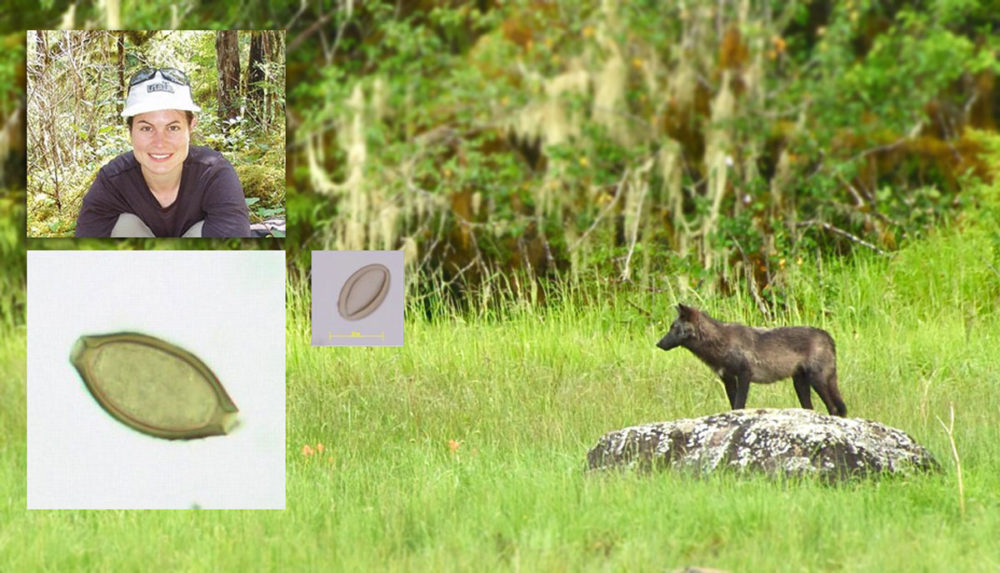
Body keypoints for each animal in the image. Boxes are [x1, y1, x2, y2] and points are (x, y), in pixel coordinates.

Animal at [656, 304, 847, 416]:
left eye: (673, 328)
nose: (658, 344)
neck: (721, 343)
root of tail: (827, 335)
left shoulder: (744, 375)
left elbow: (739, 404)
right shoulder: (728, 379)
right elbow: (734, 405)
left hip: (817, 381)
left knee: (834, 408)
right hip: (800, 384)